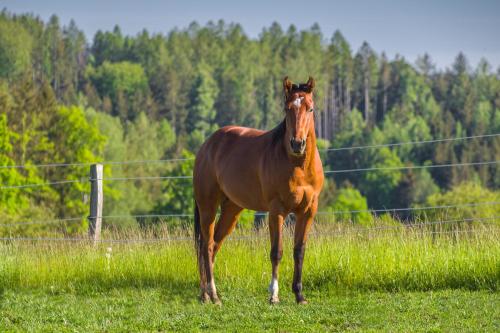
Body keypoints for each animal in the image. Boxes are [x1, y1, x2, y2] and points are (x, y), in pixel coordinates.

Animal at [191, 76, 324, 304]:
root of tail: (207, 146)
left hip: (231, 210)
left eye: (311, 108)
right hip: (208, 207)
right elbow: (276, 252)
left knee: (213, 246)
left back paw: (205, 294)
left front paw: (299, 295)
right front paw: (274, 295)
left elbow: (299, 251)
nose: (297, 143)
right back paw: (214, 296)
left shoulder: (308, 211)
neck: (298, 166)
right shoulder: (277, 211)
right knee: (206, 246)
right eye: (287, 108)